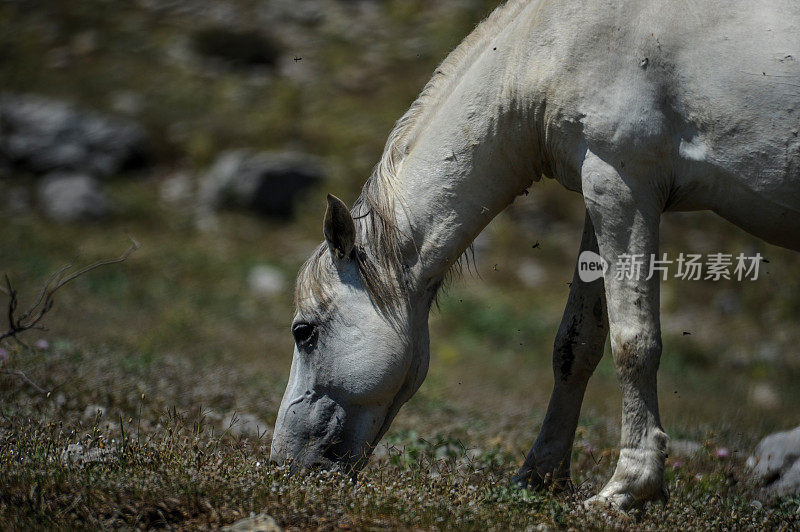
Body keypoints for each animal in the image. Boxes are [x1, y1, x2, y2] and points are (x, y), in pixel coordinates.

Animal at [270, 0, 800, 508]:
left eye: (303, 332)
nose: (282, 466)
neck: (550, 38)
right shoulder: (601, 191)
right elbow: (576, 344)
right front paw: (540, 477)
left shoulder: (624, 183)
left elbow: (633, 342)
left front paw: (629, 488)